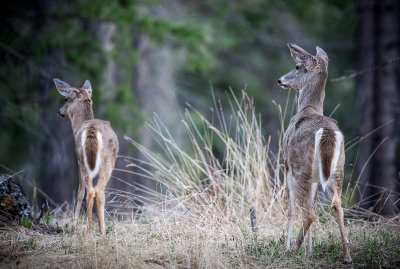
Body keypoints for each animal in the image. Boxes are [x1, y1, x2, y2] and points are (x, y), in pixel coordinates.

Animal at [54, 77, 119, 232]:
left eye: (65, 99)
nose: (59, 111)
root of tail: (91, 129)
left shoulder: (78, 160)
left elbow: (80, 191)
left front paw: (75, 222)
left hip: (85, 159)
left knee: (92, 190)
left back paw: (93, 230)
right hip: (104, 161)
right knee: (96, 190)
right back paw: (97, 229)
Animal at [278, 43, 354, 262]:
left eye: (297, 66)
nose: (280, 80)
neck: (309, 108)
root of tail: (327, 132)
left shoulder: (287, 165)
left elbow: (291, 209)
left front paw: (288, 246)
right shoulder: (315, 178)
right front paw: (310, 249)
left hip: (301, 168)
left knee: (309, 212)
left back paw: (293, 249)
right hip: (337, 169)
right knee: (337, 204)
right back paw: (347, 256)